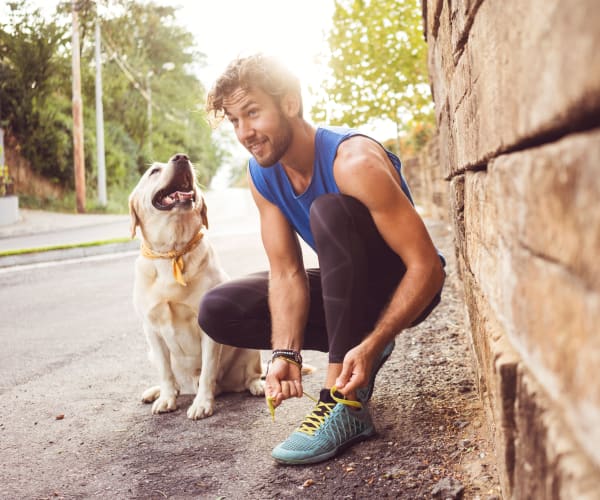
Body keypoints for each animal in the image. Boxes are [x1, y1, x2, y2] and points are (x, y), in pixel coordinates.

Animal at [129, 152, 262, 418]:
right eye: (154, 171)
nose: (181, 157)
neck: (173, 251)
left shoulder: (207, 329)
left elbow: (208, 370)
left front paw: (202, 404)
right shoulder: (151, 330)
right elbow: (166, 372)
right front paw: (166, 398)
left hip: (249, 347)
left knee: (251, 375)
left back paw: (258, 386)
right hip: (151, 352)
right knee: (175, 381)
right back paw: (156, 391)